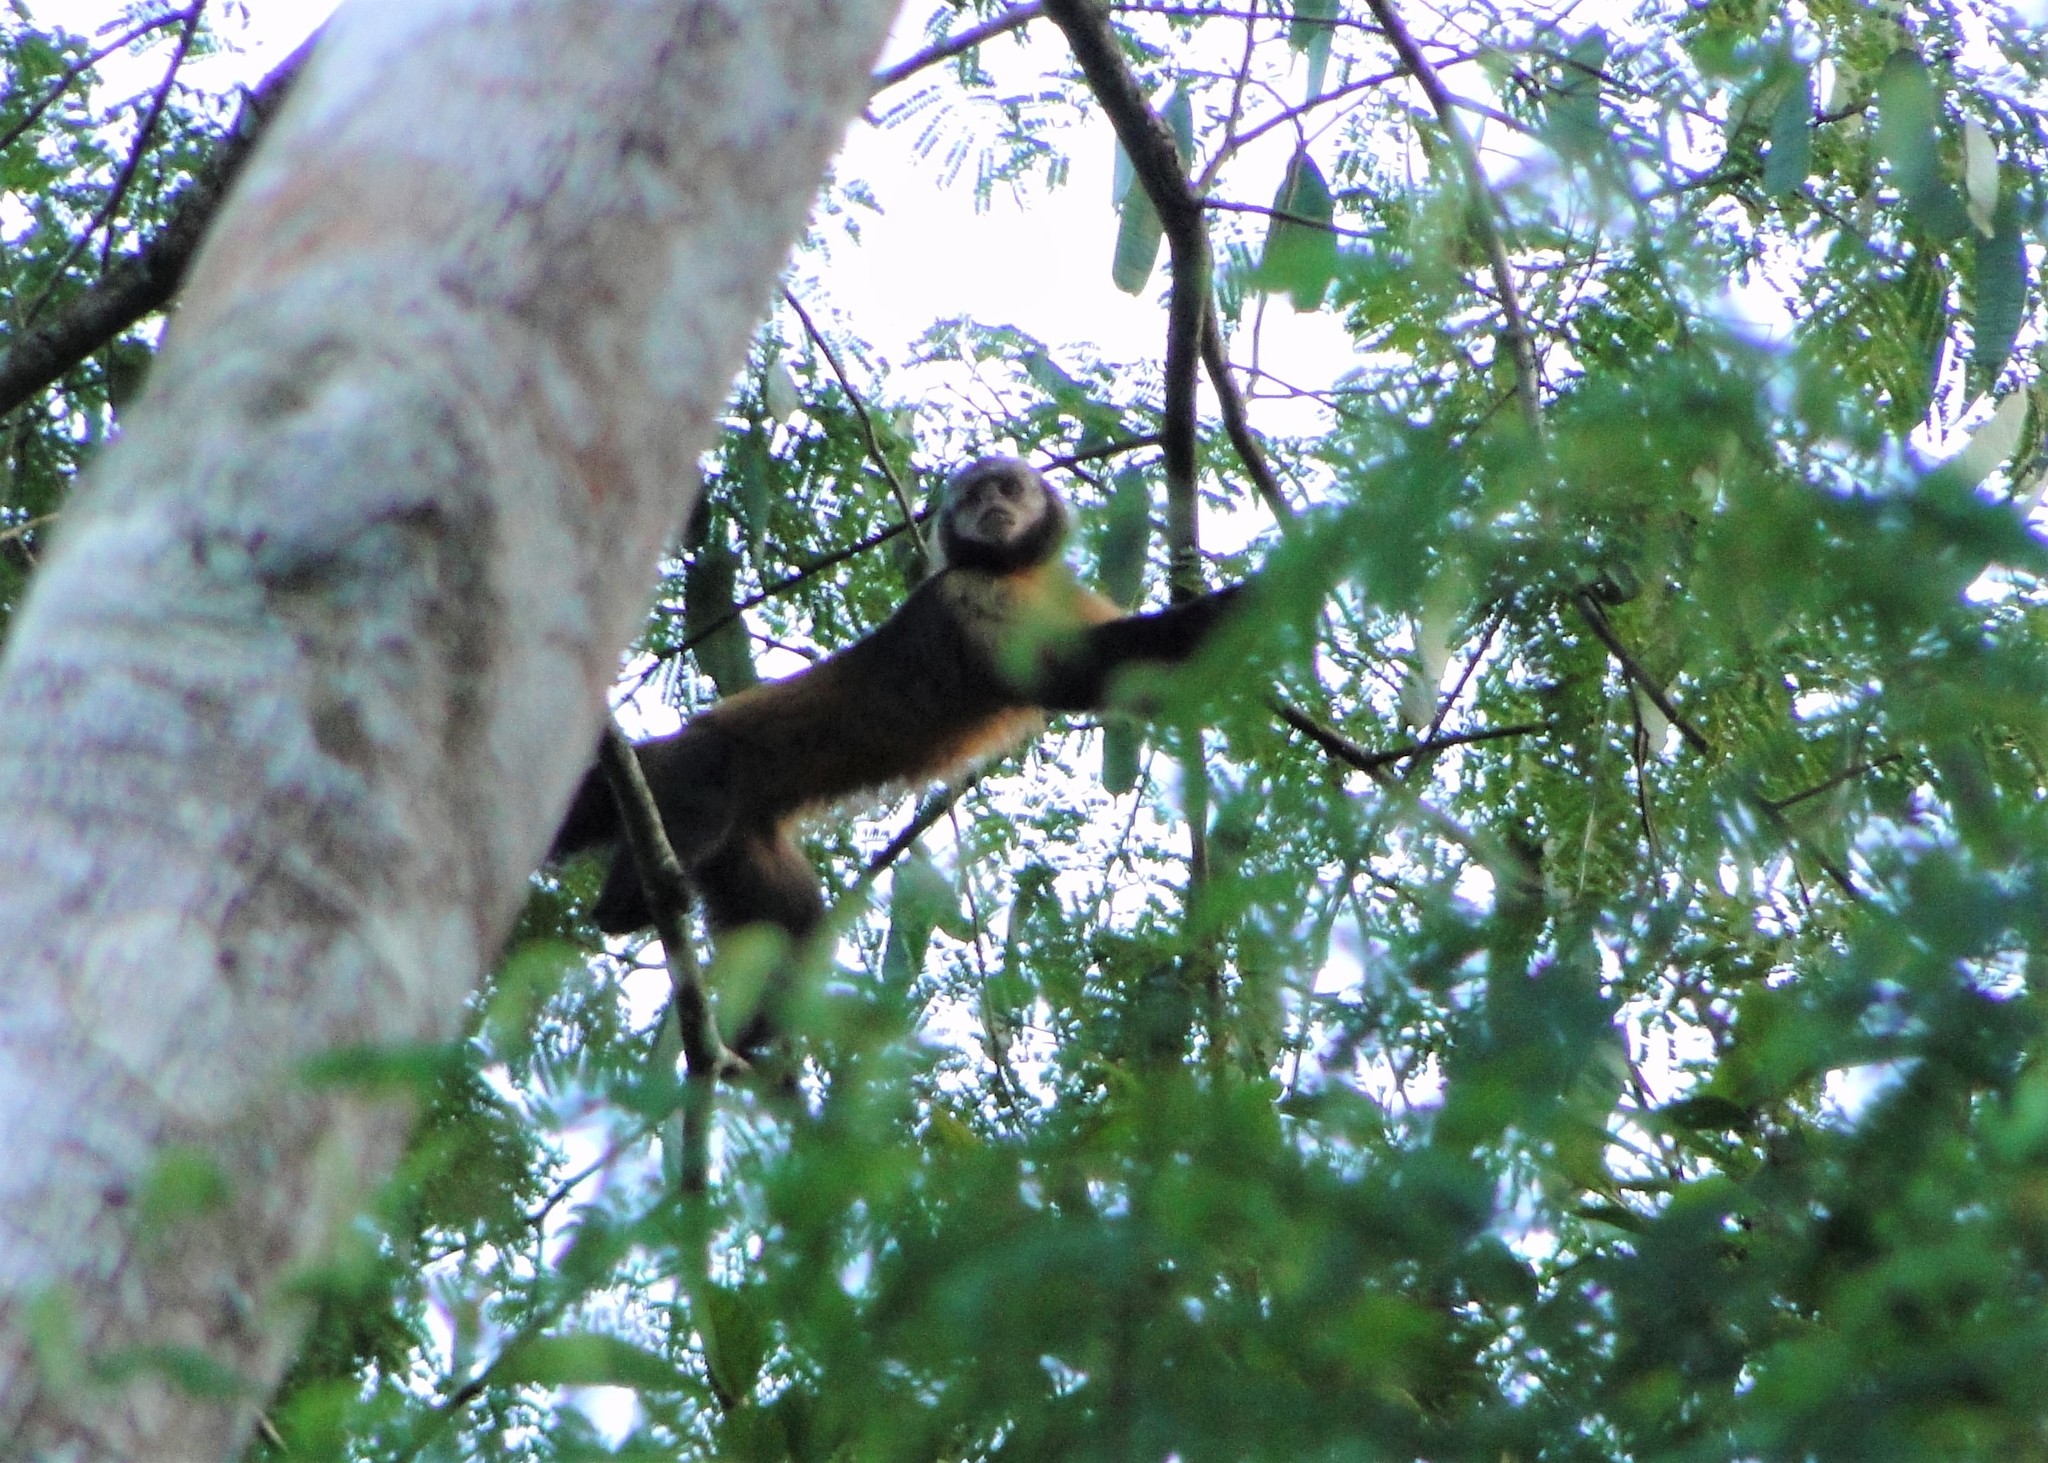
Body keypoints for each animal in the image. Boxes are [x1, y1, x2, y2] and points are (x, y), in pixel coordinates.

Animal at [552, 454, 1236, 1036]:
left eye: (1006, 487)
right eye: (972, 496)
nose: (990, 505)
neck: (1010, 568)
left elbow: (1142, 689)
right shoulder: (966, 593)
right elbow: (1073, 676)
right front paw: (1251, 600)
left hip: (744, 844)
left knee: (794, 932)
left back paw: (750, 1047)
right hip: (685, 773)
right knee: (699, 788)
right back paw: (626, 910)